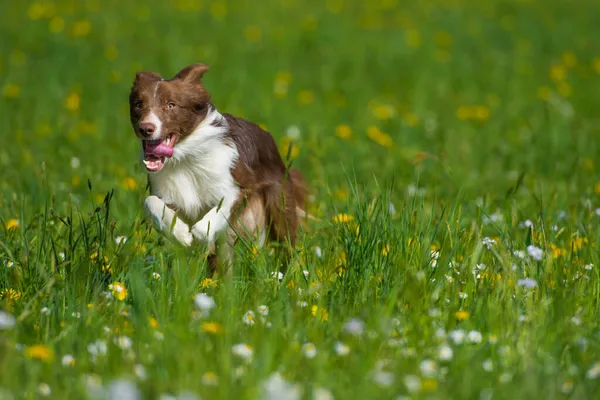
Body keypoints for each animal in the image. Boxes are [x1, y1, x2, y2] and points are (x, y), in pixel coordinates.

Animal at [130, 63, 310, 276]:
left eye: (171, 105)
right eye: (138, 104)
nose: (145, 128)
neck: (185, 159)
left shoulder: (238, 186)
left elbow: (212, 218)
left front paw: (198, 236)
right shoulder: (168, 192)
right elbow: (150, 201)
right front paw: (180, 233)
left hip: (279, 206)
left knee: (286, 246)